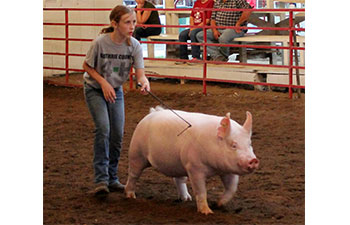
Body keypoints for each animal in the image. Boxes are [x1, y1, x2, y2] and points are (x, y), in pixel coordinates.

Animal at [124, 106, 258, 215]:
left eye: (249, 144)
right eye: (233, 145)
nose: (253, 160)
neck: (215, 168)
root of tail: (151, 113)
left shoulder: (227, 170)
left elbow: (232, 188)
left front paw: (218, 204)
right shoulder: (194, 167)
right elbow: (201, 191)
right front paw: (207, 212)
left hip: (177, 164)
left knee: (178, 180)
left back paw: (186, 199)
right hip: (136, 153)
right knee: (133, 174)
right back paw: (131, 196)